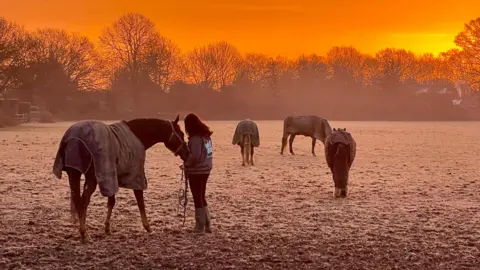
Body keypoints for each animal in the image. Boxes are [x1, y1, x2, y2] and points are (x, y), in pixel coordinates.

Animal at [51, 115, 188, 244]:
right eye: (181, 134)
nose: (187, 152)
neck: (137, 134)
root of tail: (73, 138)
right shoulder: (135, 175)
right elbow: (140, 202)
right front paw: (148, 227)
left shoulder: (113, 176)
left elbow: (111, 202)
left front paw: (107, 228)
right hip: (91, 178)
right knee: (83, 201)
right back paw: (84, 234)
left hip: (74, 174)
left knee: (78, 201)